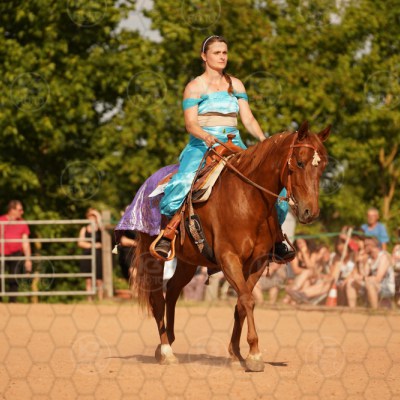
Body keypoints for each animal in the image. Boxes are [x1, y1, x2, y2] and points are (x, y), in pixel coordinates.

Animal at [130, 121, 330, 372]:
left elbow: (242, 303)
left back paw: (169, 342)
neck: (248, 198)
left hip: (188, 261)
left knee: (173, 290)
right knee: (158, 298)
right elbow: (247, 300)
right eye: (300, 162)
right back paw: (166, 351)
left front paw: (236, 353)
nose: (309, 212)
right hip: (153, 258)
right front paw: (254, 354)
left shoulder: (256, 263)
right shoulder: (228, 259)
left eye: (323, 166)